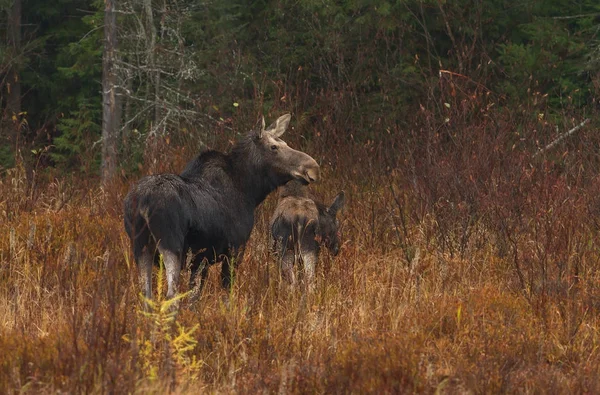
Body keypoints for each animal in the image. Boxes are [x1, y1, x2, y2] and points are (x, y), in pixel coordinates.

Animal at [124, 114, 322, 306]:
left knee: (146, 296)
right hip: (171, 244)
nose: (313, 167)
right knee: (171, 296)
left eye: (286, 143)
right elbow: (227, 296)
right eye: (274, 147)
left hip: (140, 247)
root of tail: (144, 203)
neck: (250, 193)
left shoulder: (200, 260)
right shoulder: (234, 250)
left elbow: (194, 298)